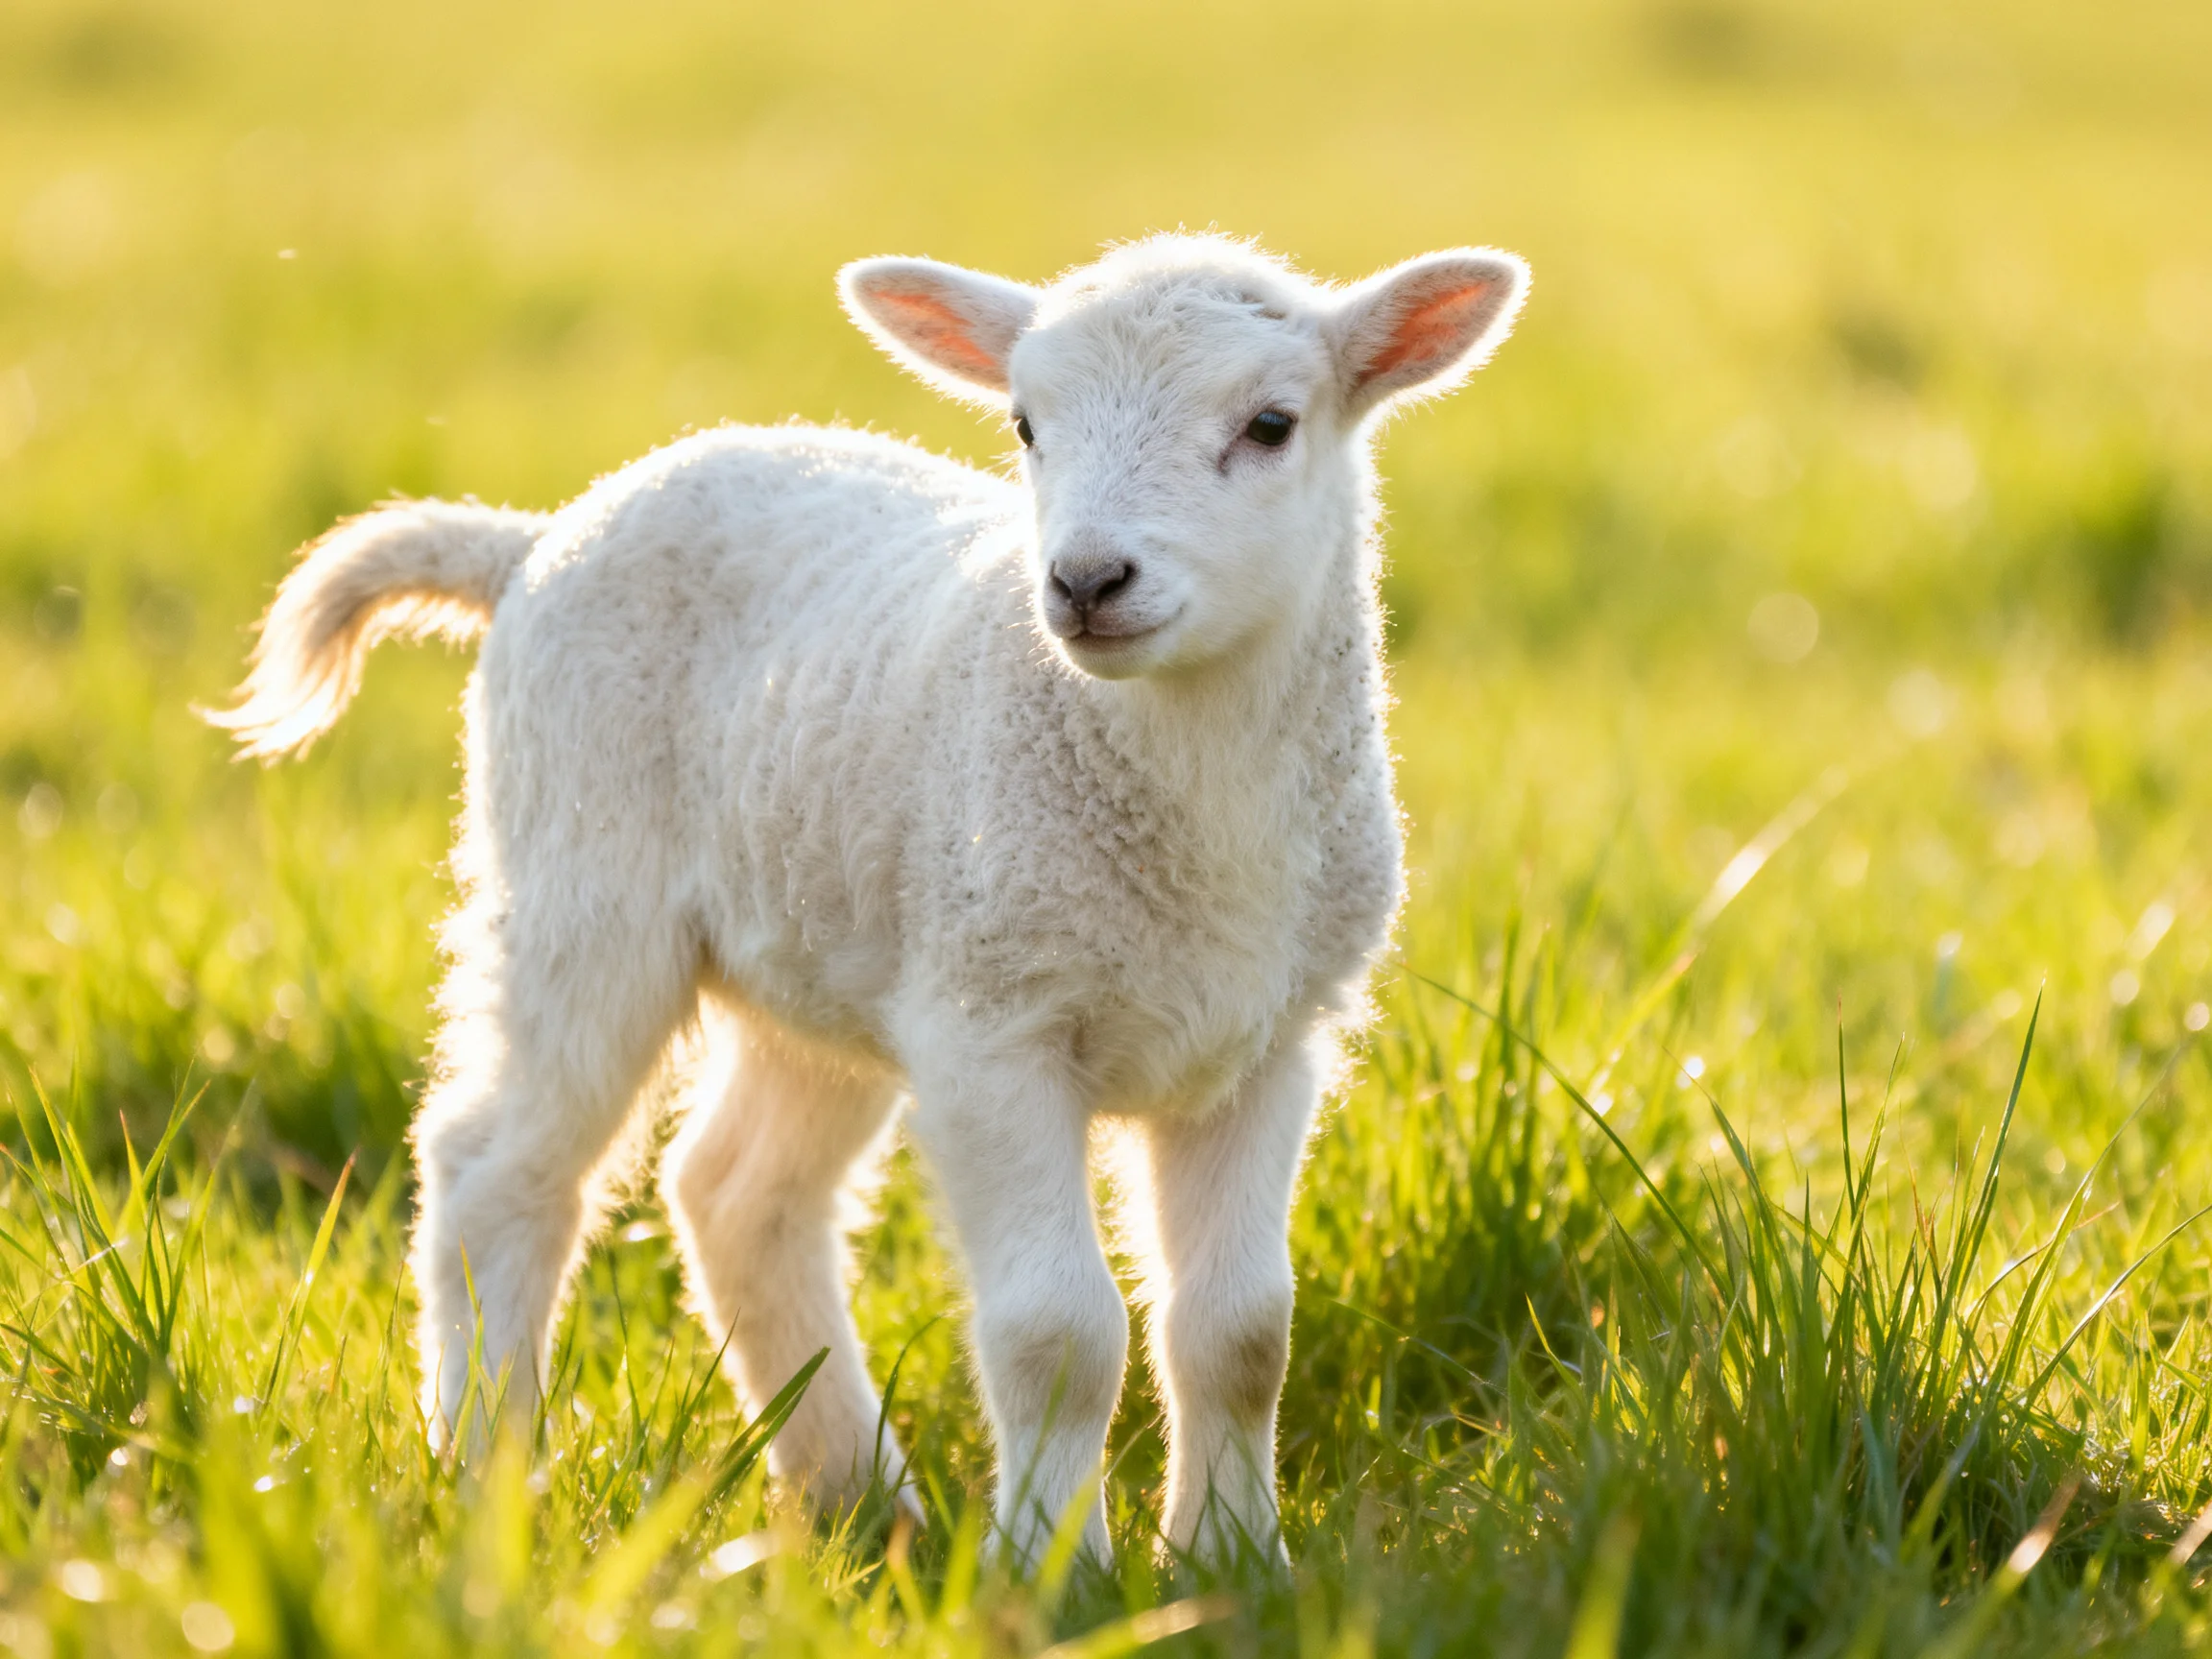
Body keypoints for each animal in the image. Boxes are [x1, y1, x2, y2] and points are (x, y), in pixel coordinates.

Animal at [208, 233, 1529, 1567]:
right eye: (1026, 424)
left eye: (1270, 425)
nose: (1087, 581)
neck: (1194, 815)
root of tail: (534, 541)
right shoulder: (993, 1028)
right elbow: (1058, 1332)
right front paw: (1055, 1568)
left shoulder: (1268, 1039)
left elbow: (1241, 1330)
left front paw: (1232, 1560)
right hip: (581, 883)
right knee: (496, 1169)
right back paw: (489, 1475)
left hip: (826, 952)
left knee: (737, 1194)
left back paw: (857, 1496)